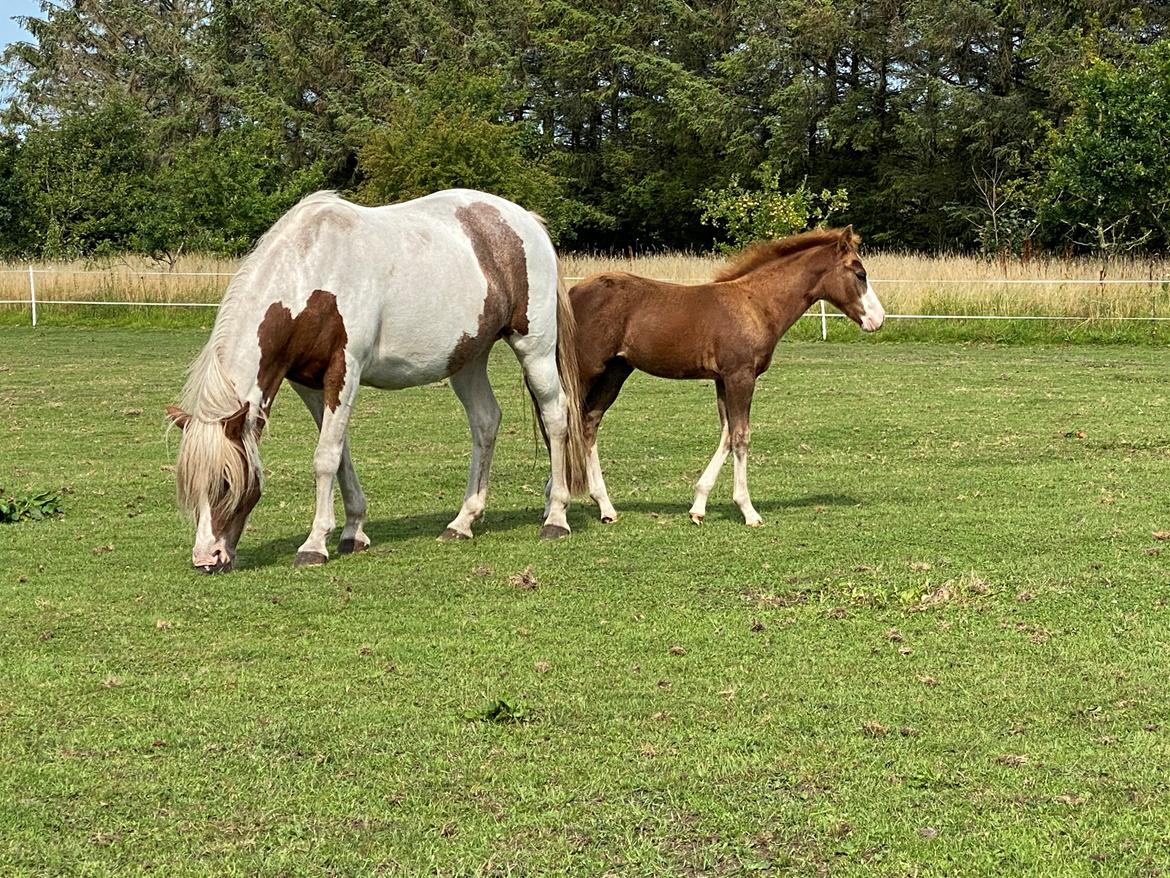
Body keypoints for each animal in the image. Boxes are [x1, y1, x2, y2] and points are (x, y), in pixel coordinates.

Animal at [164, 189, 585, 573]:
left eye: (225, 482)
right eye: (190, 486)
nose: (207, 559)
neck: (310, 270)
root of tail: (527, 221)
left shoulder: (344, 371)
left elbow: (325, 457)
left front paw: (314, 544)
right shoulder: (309, 384)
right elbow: (341, 455)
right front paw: (353, 532)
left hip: (535, 349)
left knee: (555, 417)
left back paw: (555, 517)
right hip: (468, 360)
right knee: (486, 422)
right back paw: (463, 521)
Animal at [570, 227, 879, 529]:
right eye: (859, 274)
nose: (878, 319)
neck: (756, 304)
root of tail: (572, 292)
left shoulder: (722, 380)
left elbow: (727, 435)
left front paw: (698, 507)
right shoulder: (740, 376)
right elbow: (741, 436)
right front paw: (748, 511)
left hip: (615, 371)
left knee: (589, 422)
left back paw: (605, 508)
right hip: (586, 370)